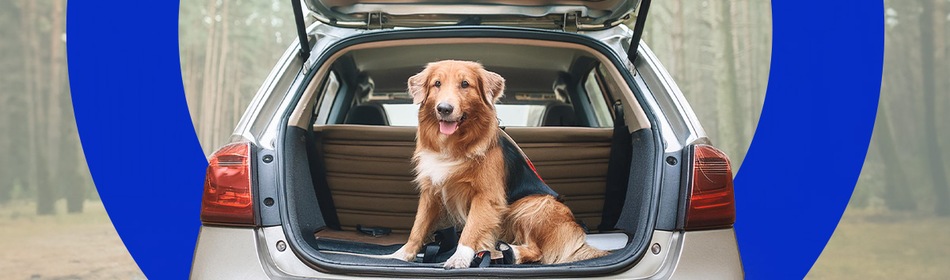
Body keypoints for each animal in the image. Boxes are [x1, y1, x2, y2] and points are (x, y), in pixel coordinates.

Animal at [388, 60, 608, 270]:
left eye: (465, 84)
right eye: (437, 84)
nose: (444, 108)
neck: (454, 145)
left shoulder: (486, 196)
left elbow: (471, 229)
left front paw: (460, 258)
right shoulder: (431, 192)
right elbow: (418, 227)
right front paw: (400, 255)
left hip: (532, 205)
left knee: (537, 251)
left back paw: (506, 252)